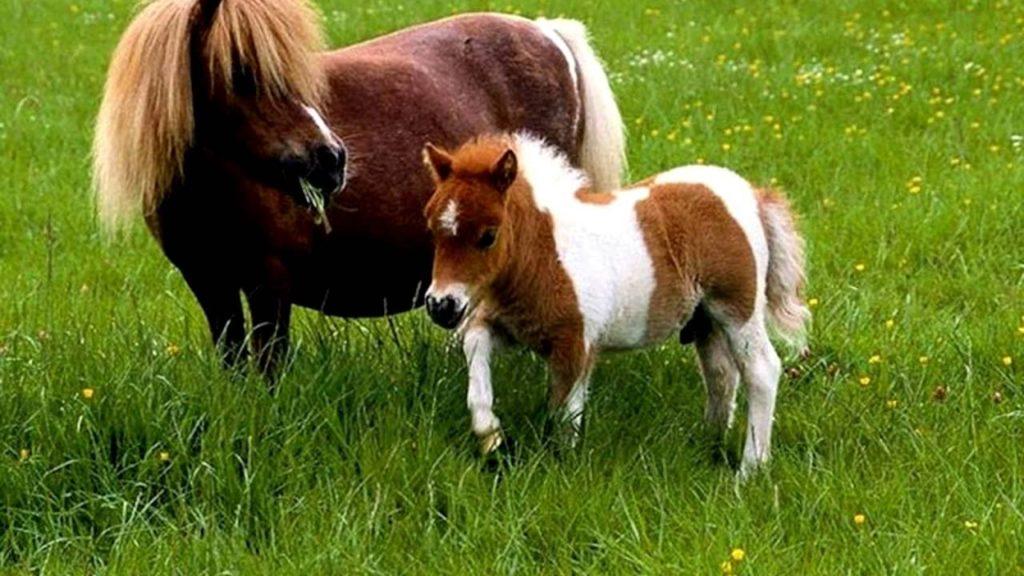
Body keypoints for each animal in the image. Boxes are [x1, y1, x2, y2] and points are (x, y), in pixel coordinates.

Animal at [93, 0, 626, 376]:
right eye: (242, 73)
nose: (331, 158)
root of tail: (548, 33)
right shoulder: (209, 281)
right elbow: (234, 361)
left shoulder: (270, 281)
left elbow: (269, 367)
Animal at [422, 133, 810, 475]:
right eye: (433, 229)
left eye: (488, 236)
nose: (441, 305)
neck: (547, 253)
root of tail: (753, 195)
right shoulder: (511, 328)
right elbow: (475, 348)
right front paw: (490, 435)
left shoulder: (576, 344)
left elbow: (563, 413)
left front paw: (560, 469)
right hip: (707, 321)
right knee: (721, 375)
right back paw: (708, 444)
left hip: (737, 309)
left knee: (761, 370)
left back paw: (749, 469)